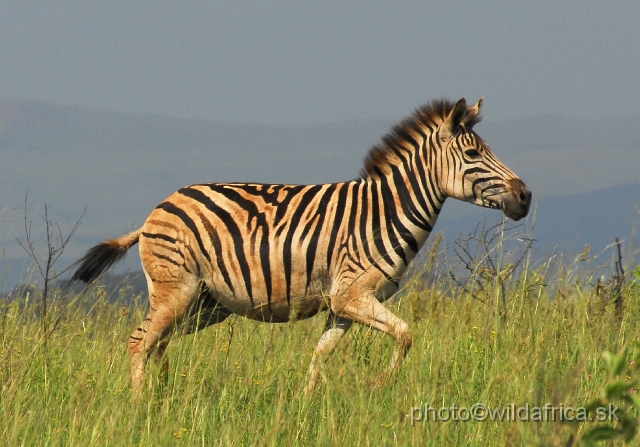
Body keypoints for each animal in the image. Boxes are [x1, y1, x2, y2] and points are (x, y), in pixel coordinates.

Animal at [71, 99, 528, 400]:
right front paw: (379, 385)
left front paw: (306, 404)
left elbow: (321, 354)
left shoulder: (343, 306)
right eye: (473, 153)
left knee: (157, 342)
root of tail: (155, 212)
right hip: (176, 290)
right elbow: (405, 335)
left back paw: (162, 397)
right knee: (139, 342)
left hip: (203, 304)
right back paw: (139, 406)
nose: (525, 196)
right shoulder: (352, 294)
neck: (385, 211)